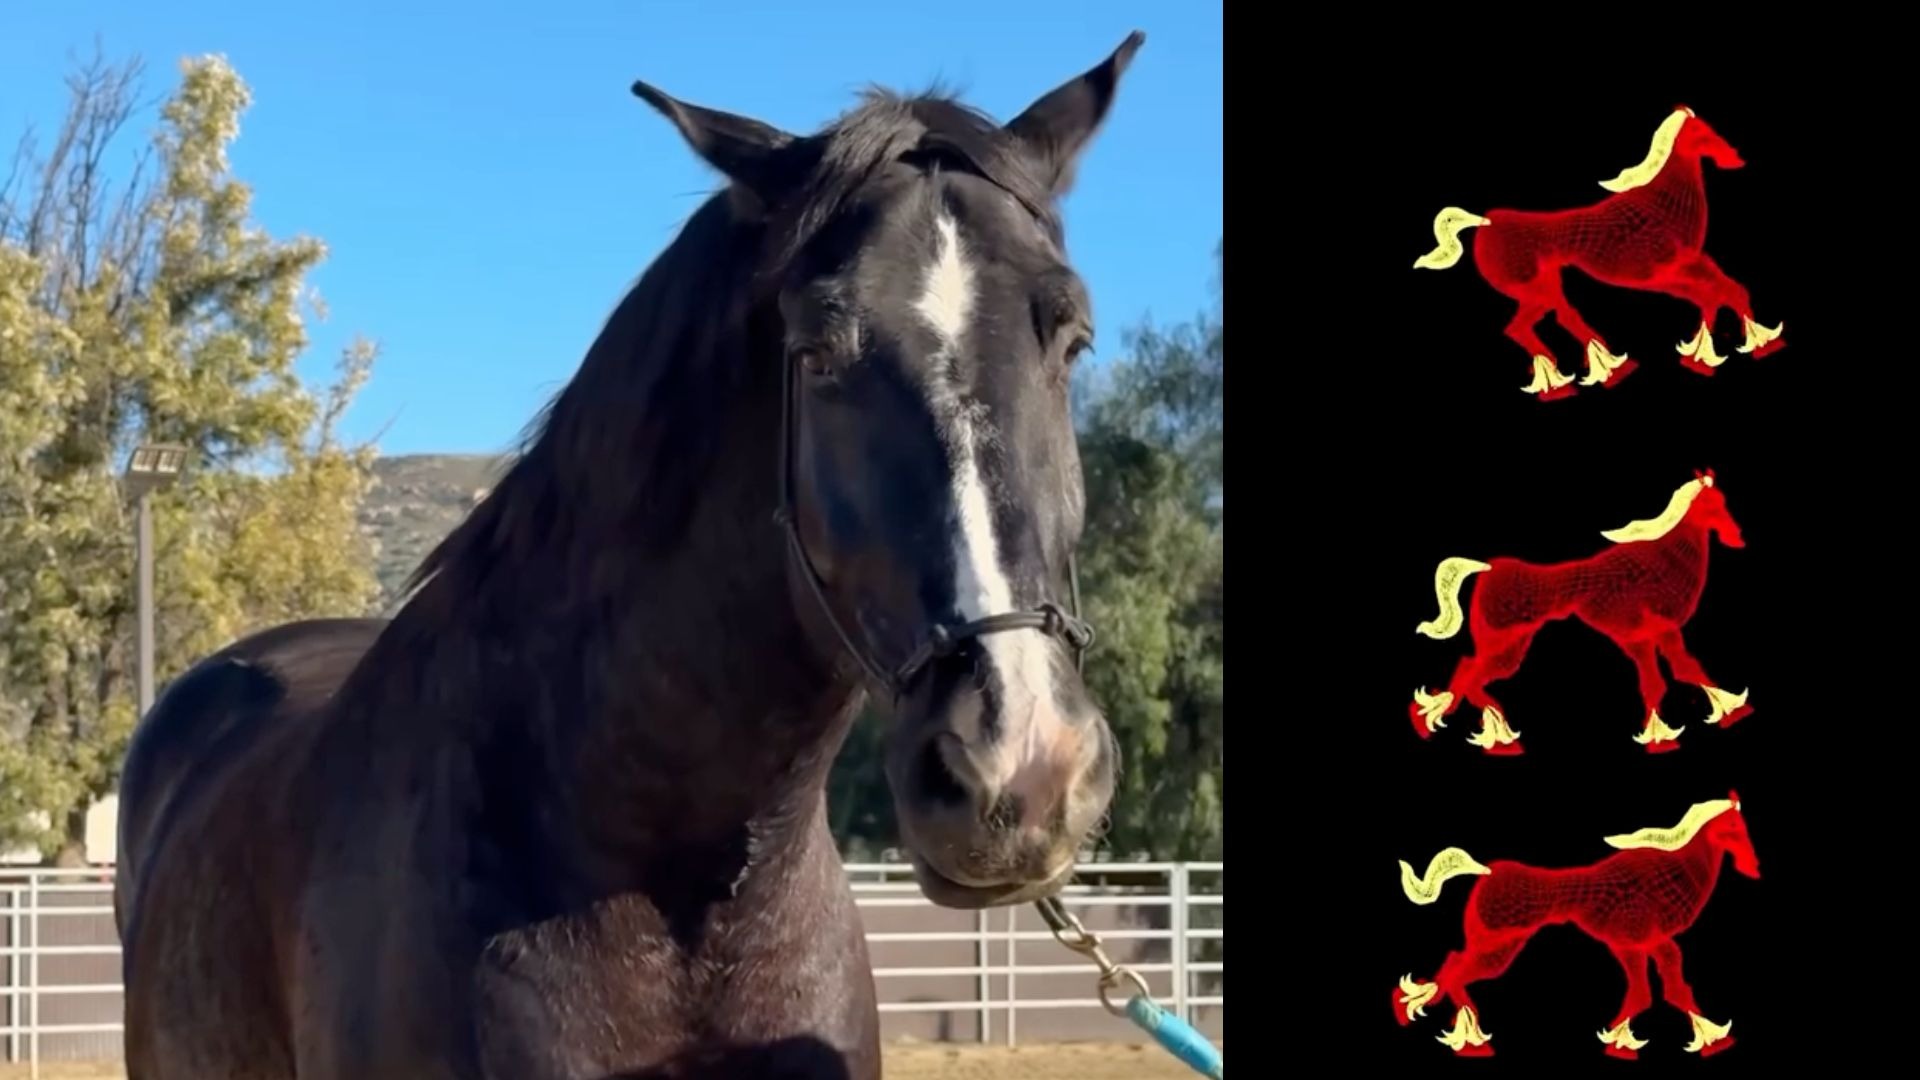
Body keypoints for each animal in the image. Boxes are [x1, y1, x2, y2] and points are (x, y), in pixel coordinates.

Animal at [1392, 792, 1757, 1060]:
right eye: (1734, 826)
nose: (1753, 865)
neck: (1676, 870)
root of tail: (1488, 871)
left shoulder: (1637, 946)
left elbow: (1649, 992)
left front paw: (1621, 1040)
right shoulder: (1646, 942)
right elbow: (1662, 990)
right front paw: (1710, 1038)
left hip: (1491, 944)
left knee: (1454, 961)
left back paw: (1454, 1025)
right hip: (1499, 947)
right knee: (1457, 969)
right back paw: (1467, 1036)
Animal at [1408, 470, 1750, 755]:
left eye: (1722, 502)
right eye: (1711, 505)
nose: (1737, 534)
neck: (1664, 559)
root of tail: (1489, 567)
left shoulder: (1650, 636)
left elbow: (1670, 676)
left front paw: (1674, 731)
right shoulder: (1653, 632)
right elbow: (1674, 675)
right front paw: (1717, 716)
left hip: (1508, 645)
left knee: (1469, 672)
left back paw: (1476, 730)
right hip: (1503, 643)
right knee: (1471, 675)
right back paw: (1493, 735)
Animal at [1412, 106, 1785, 400]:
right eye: (1701, 132)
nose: (1734, 155)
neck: (1663, 206)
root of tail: (1487, 221)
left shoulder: (1683, 267)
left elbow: (1722, 291)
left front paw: (1720, 350)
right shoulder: (1664, 273)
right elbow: (1714, 293)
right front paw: (1713, 353)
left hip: (1547, 287)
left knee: (1557, 320)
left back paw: (1599, 370)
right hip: (1533, 289)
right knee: (1521, 328)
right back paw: (1568, 382)